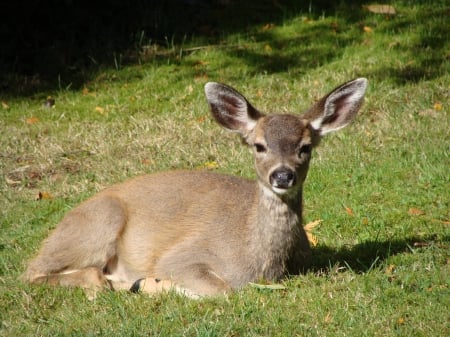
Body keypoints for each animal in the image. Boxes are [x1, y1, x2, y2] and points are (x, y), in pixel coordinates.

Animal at [22, 78, 366, 296]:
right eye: (259, 146)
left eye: (305, 147)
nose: (282, 176)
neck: (262, 263)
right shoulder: (180, 255)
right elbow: (223, 291)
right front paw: (151, 285)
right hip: (99, 222)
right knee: (35, 271)